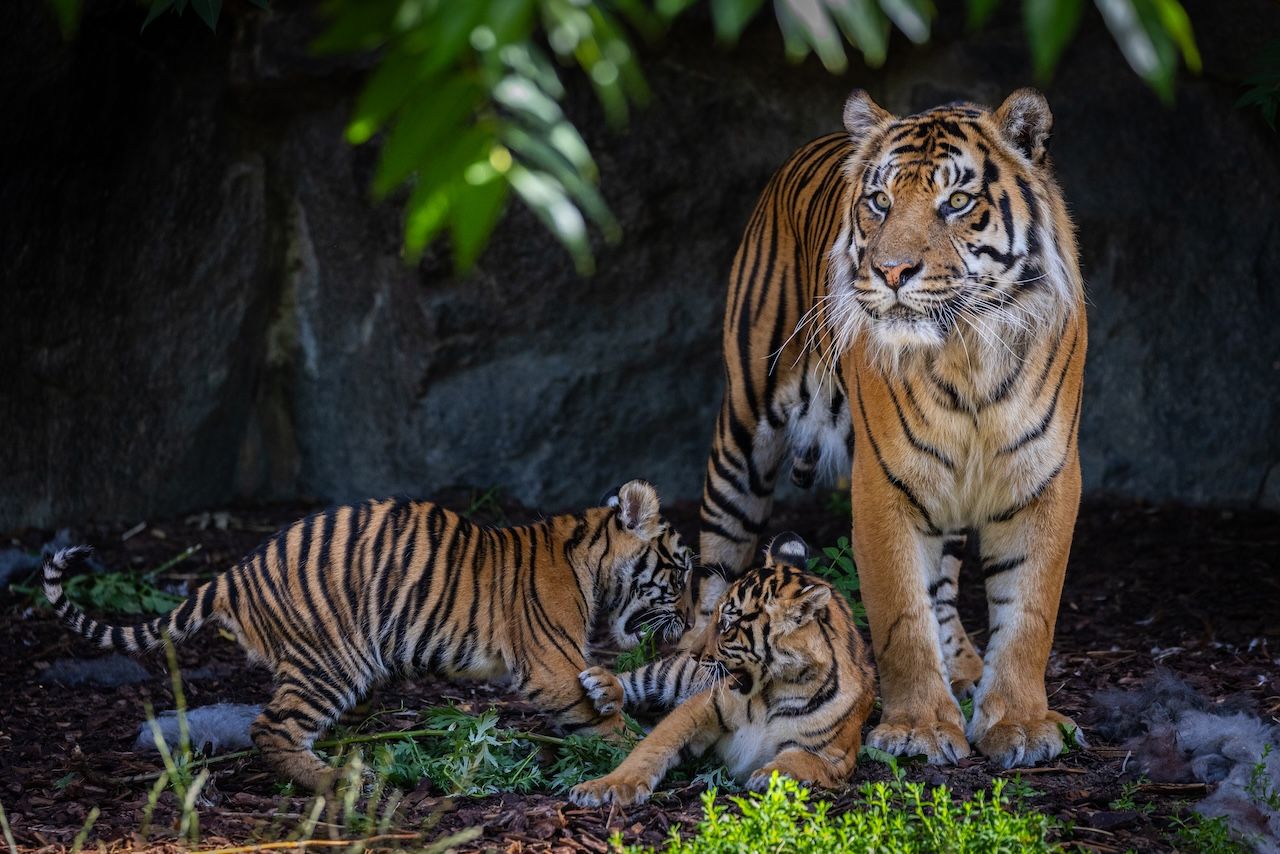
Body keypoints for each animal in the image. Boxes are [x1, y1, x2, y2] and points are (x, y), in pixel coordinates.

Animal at [43, 479, 692, 791]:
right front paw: (640, 751)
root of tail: (236, 572)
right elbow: (603, 722)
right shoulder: (551, 668)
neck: (589, 558)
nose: (690, 623)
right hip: (332, 662)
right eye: (681, 573)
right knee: (269, 728)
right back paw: (340, 780)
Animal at [570, 533, 874, 806]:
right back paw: (602, 685)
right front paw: (605, 786)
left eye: (727, 625)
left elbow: (798, 761)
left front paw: (768, 777)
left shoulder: (834, 755)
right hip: (678, 675)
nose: (693, 653)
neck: (775, 690)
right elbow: (653, 746)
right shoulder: (701, 706)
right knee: (640, 678)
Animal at [696, 88, 1086, 768]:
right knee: (720, 542)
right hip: (747, 420)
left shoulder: (1046, 476)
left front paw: (1020, 724)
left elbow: (1028, 612)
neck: (967, 353)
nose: (892, 271)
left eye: (956, 202)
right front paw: (919, 729)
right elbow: (902, 613)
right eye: (879, 201)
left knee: (945, 586)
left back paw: (963, 669)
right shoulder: (883, 483)